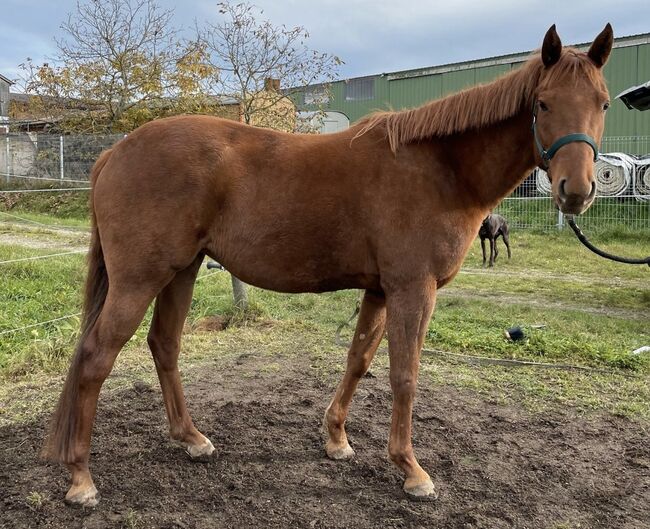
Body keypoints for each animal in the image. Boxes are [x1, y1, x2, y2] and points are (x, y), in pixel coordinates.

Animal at [43, 24, 613, 506]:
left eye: (603, 104)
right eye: (543, 103)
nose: (577, 190)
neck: (439, 169)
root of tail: (114, 154)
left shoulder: (380, 290)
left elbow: (359, 359)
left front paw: (336, 439)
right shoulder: (414, 289)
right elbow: (404, 374)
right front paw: (411, 470)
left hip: (180, 271)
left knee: (164, 345)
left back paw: (192, 439)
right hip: (139, 279)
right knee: (94, 359)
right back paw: (81, 479)